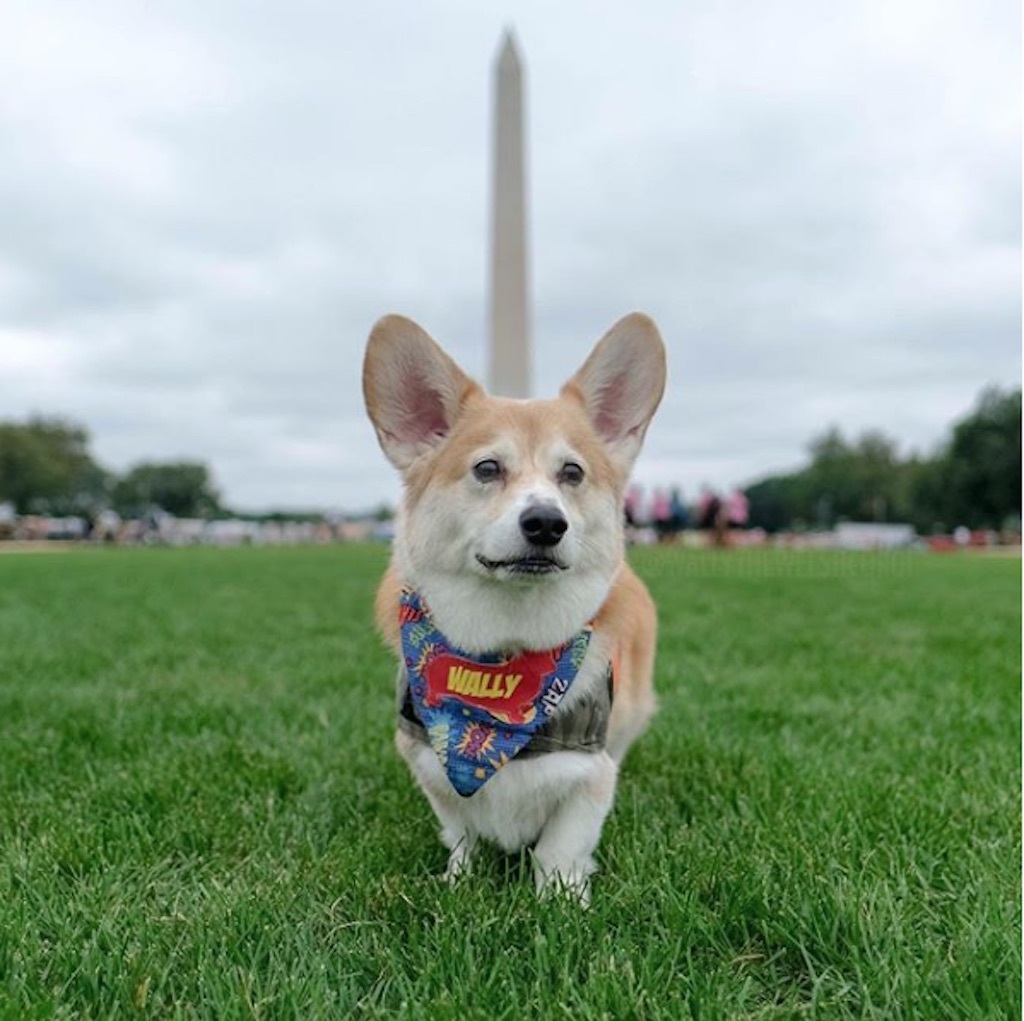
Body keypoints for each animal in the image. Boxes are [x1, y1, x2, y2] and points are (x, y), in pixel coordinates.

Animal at [364, 313, 667, 901]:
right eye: (487, 468)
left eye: (572, 473)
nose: (547, 523)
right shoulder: (430, 765)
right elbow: (461, 832)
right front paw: (460, 880)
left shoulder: (588, 774)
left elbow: (560, 848)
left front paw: (561, 900)